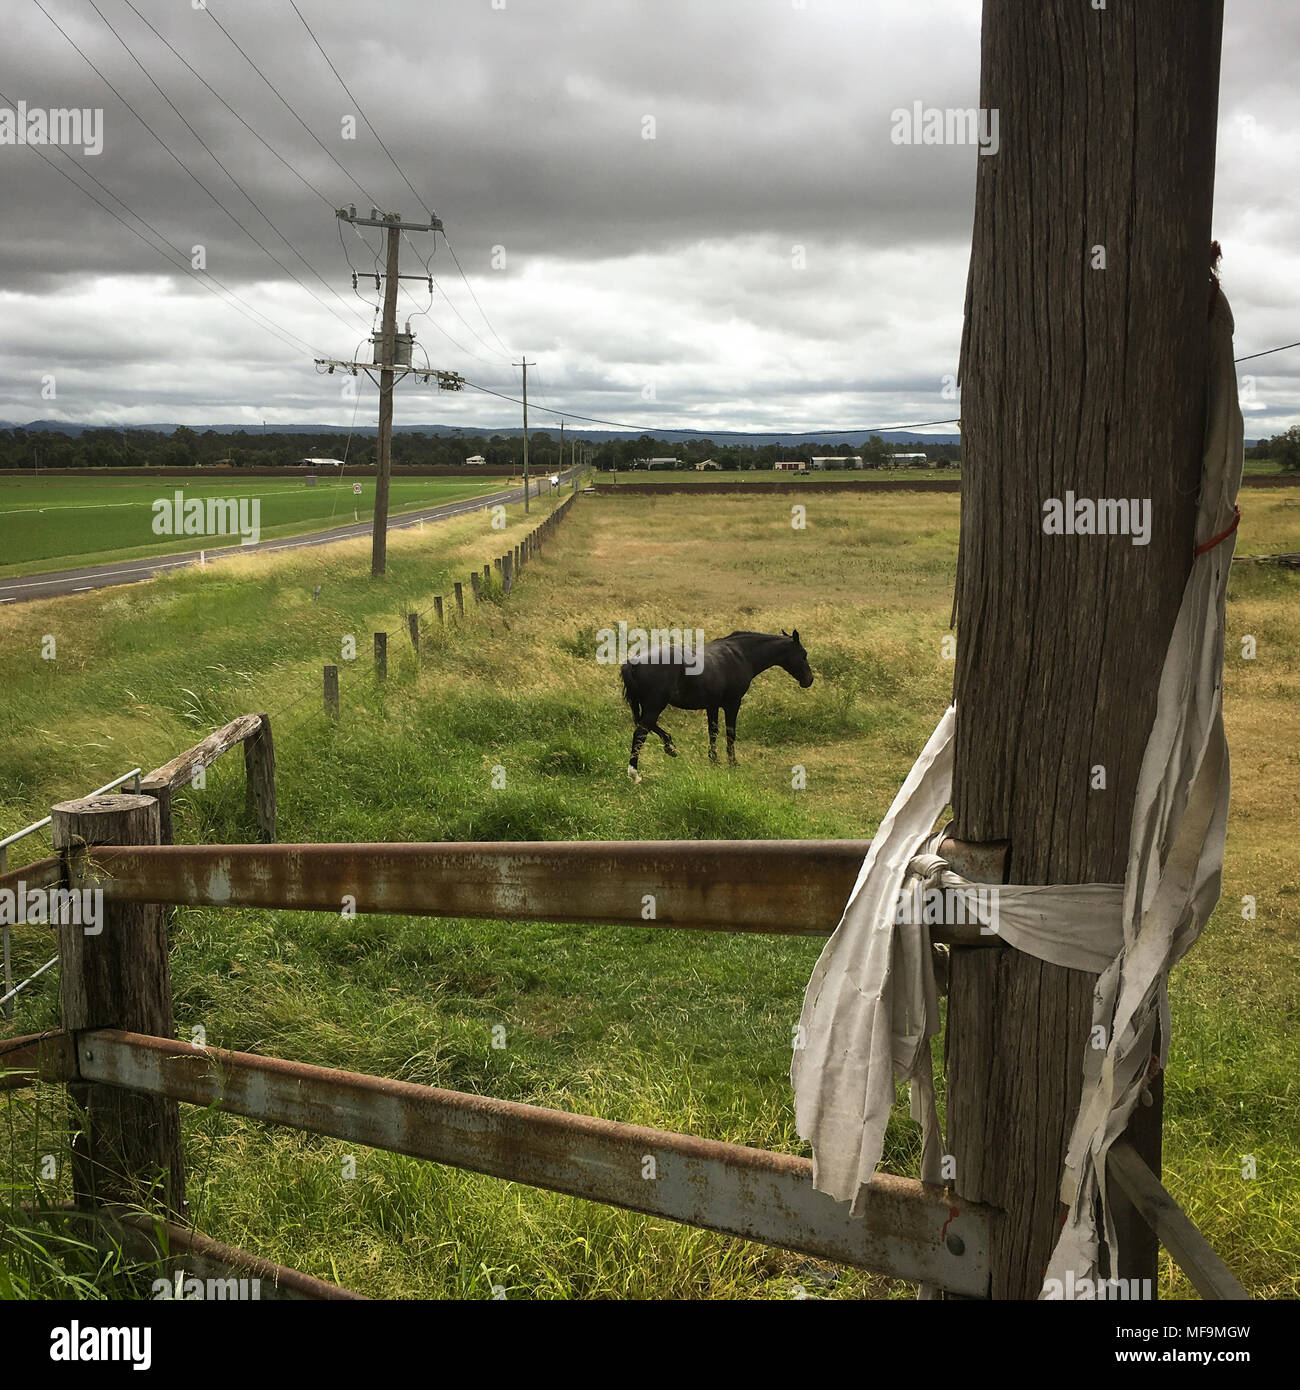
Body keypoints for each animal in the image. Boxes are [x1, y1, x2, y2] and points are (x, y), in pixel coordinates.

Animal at [620, 631, 811, 783]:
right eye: (803, 654)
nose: (809, 680)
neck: (741, 655)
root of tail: (633, 662)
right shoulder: (732, 703)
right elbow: (730, 733)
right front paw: (733, 762)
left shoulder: (712, 705)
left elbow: (713, 732)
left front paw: (714, 760)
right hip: (655, 706)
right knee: (640, 733)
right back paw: (634, 773)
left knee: (648, 727)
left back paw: (670, 746)